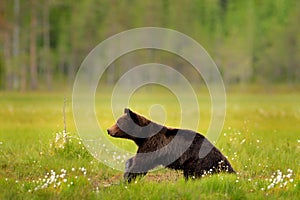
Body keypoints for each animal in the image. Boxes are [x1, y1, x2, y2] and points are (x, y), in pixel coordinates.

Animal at [106, 108, 236, 182]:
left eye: (119, 122)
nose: (108, 130)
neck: (143, 137)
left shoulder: (153, 144)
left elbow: (142, 162)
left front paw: (129, 178)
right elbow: (136, 159)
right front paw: (127, 170)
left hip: (197, 160)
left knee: (192, 174)